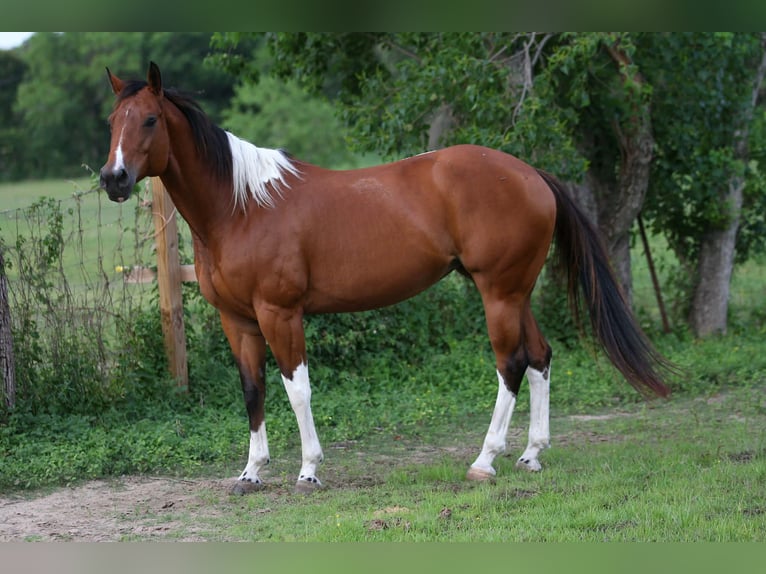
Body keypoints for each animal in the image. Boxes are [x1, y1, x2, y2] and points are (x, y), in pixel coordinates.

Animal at [99, 62, 671, 494]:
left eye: (150, 119)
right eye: (111, 121)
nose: (113, 178)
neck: (242, 206)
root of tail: (531, 175)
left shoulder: (280, 313)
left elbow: (297, 389)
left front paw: (309, 471)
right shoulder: (237, 320)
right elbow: (252, 389)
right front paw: (251, 472)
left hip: (499, 293)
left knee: (511, 364)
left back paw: (485, 461)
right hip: (515, 292)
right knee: (540, 357)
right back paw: (531, 455)